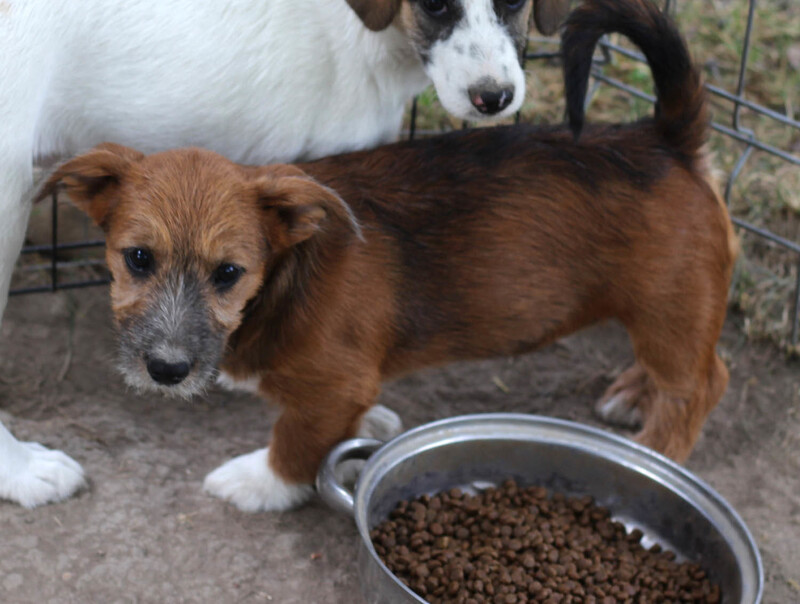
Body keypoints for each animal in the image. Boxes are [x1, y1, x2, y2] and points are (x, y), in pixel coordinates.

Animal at [40, 0, 736, 512]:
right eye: (137, 259)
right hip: (669, 310)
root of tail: (667, 138)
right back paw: (635, 395)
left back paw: (657, 451)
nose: (166, 370)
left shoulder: (332, 386)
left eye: (229, 274)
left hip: (668, 306)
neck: (287, 279)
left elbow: (294, 442)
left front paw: (256, 484)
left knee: (701, 384)